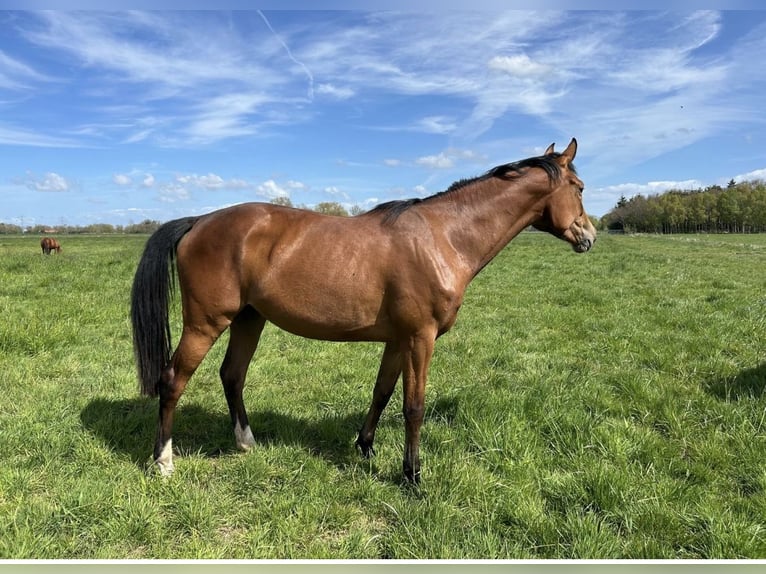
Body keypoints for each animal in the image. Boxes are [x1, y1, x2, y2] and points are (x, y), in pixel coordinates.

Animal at [130, 138, 596, 483]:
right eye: (579, 187)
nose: (588, 235)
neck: (442, 237)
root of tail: (199, 220)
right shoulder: (420, 338)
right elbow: (414, 406)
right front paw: (412, 476)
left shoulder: (398, 340)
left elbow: (382, 392)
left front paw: (366, 448)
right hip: (207, 322)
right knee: (173, 381)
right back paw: (163, 462)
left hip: (249, 318)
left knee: (232, 375)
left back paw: (246, 443)